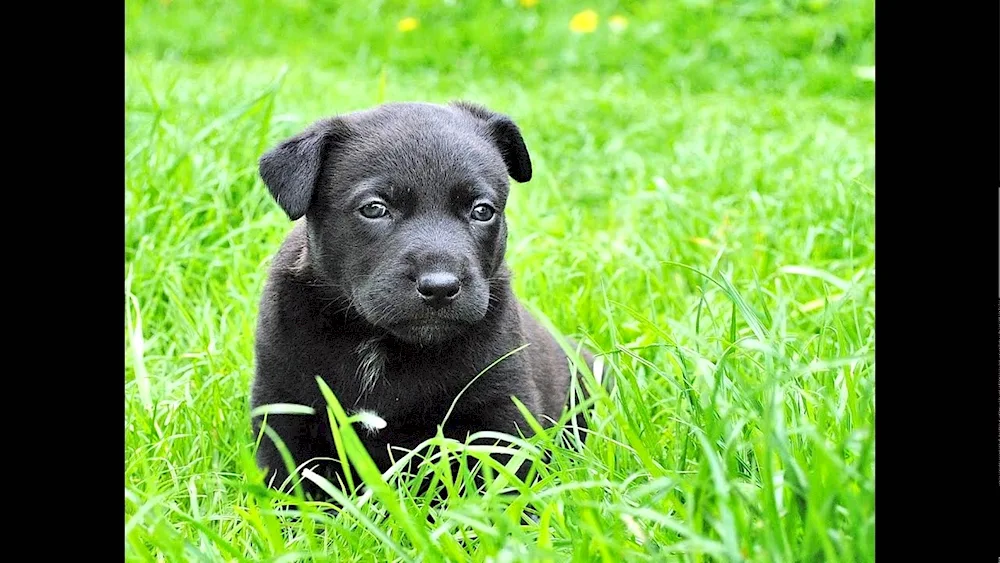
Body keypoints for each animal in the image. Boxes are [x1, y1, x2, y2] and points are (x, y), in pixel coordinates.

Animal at [250, 101, 592, 498]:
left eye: (482, 210)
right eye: (374, 208)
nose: (440, 287)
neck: (377, 341)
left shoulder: (501, 408)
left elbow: (504, 485)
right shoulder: (284, 407)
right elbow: (291, 485)